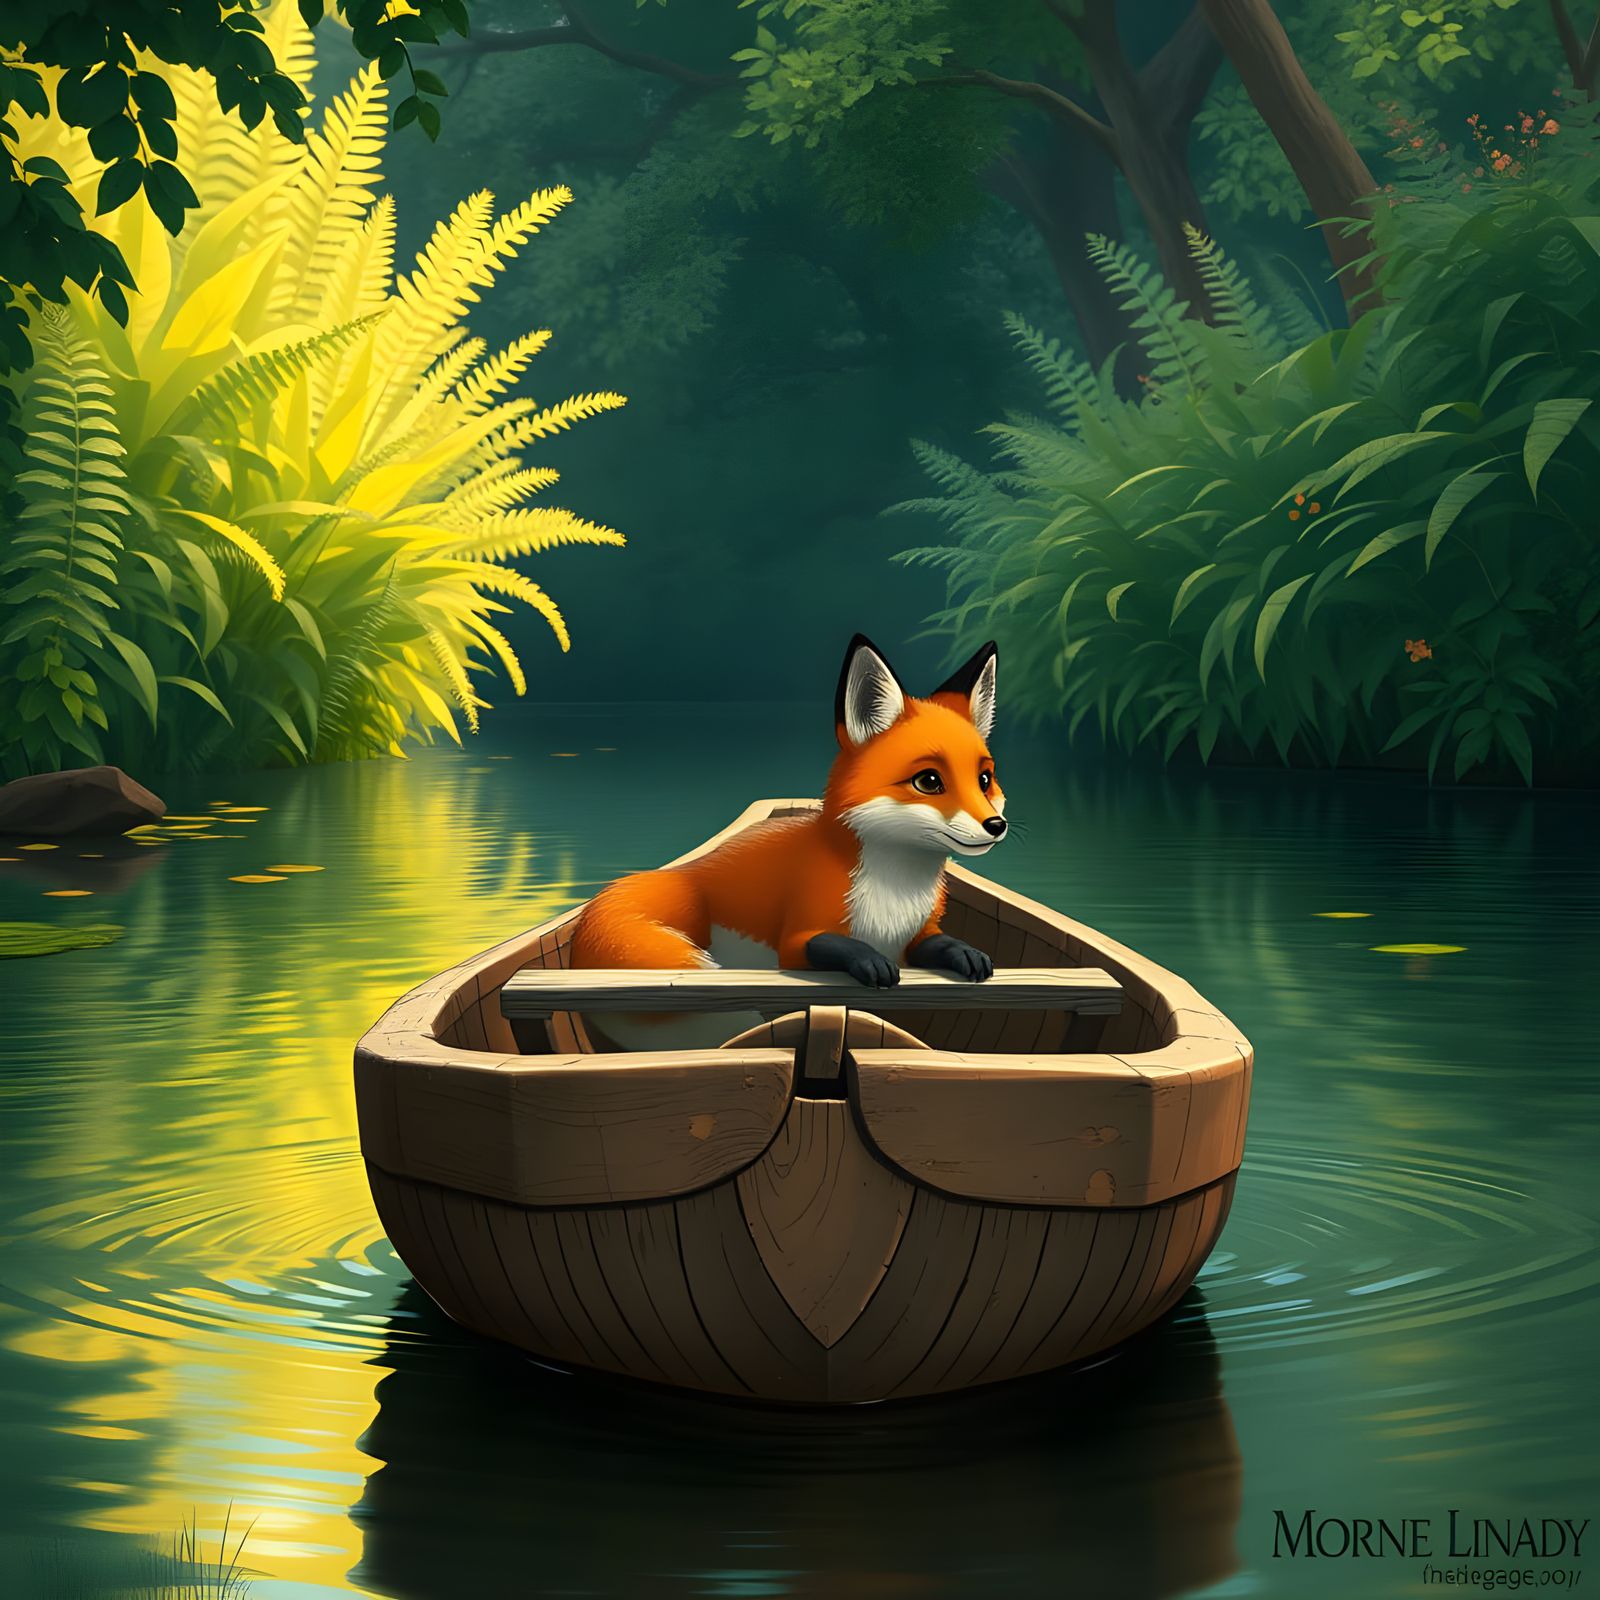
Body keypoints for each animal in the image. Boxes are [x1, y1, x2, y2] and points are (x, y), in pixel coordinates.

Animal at [567, 634, 1006, 1046]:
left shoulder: (916, 935)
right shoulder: (799, 940)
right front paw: (869, 961)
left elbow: (941, 942)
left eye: (984, 779)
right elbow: (837, 946)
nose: (996, 825)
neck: (894, 895)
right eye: (929, 781)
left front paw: (964, 952)